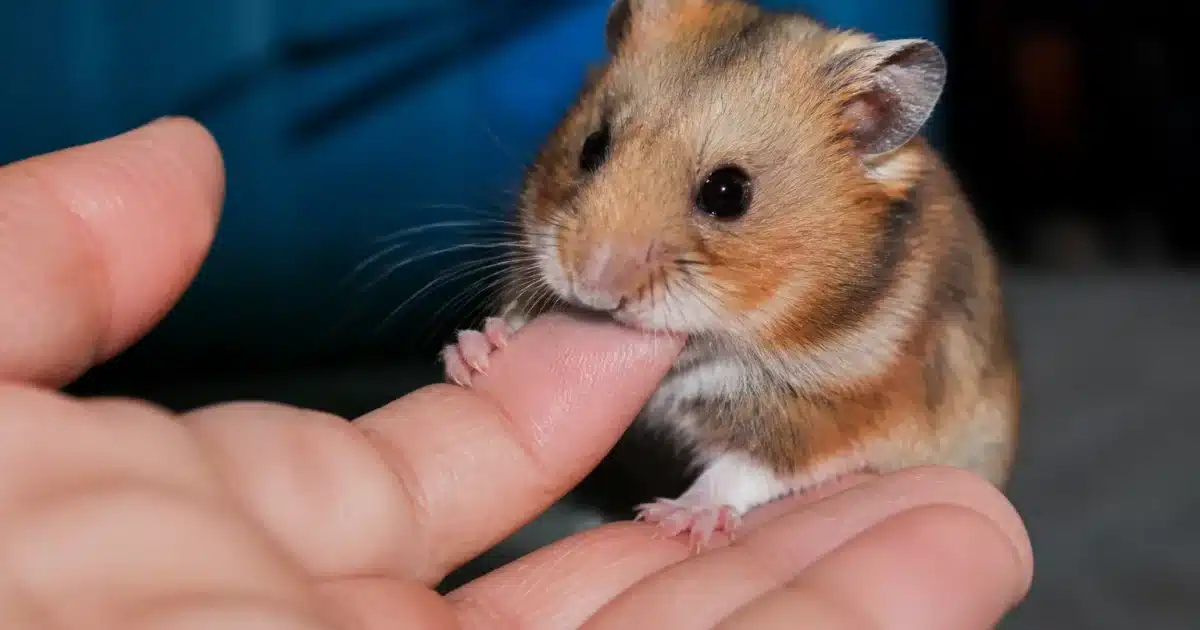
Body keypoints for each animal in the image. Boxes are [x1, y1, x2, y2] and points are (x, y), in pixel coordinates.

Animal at [442, 0, 1019, 548]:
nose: (591, 286)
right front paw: (473, 353)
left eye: (727, 192)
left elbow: (746, 468)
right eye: (592, 146)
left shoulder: (828, 417)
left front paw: (675, 519)